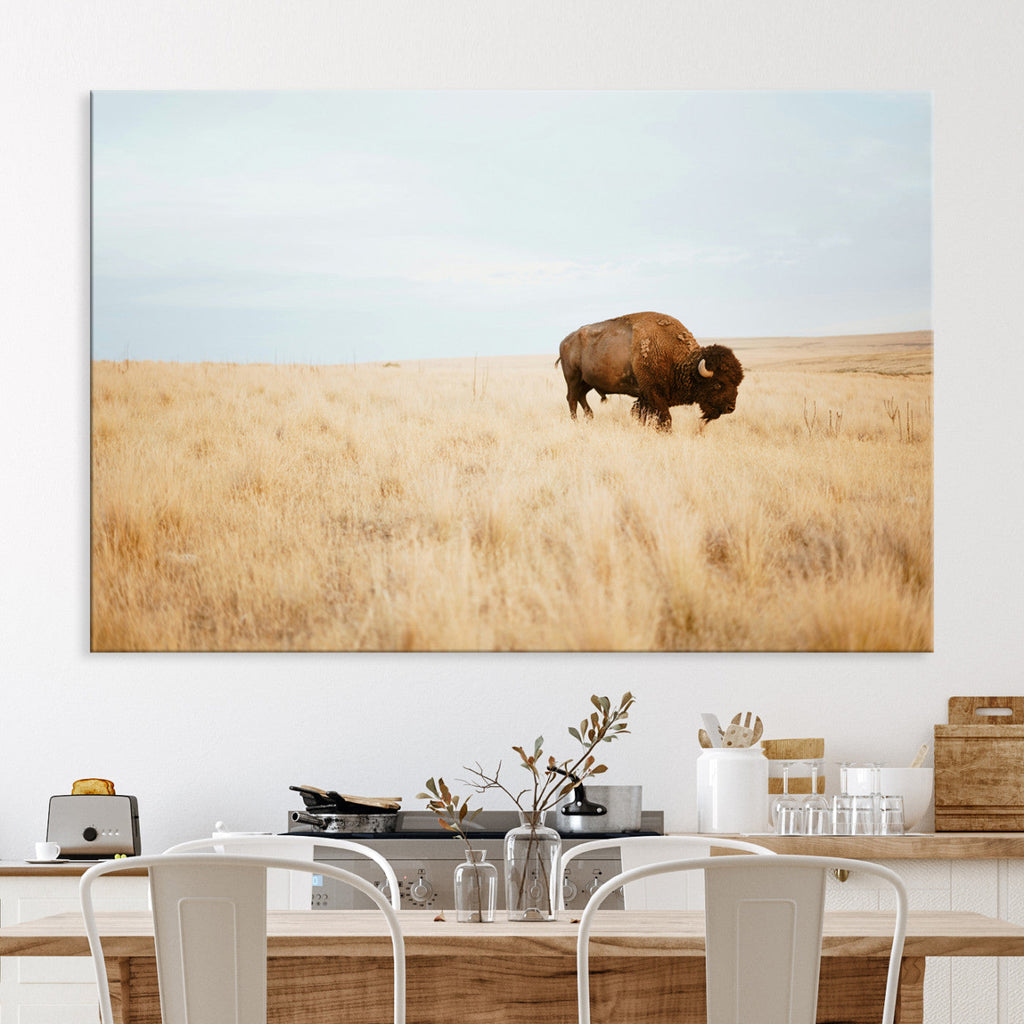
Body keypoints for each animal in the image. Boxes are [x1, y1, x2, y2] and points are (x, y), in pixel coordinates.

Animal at [556, 312, 744, 431]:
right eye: (718, 384)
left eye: (737, 383)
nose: (731, 407)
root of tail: (565, 341)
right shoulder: (654, 394)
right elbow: (665, 418)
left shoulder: (645, 397)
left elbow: (642, 415)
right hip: (573, 378)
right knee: (572, 399)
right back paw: (576, 422)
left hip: (587, 382)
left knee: (581, 397)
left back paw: (590, 418)